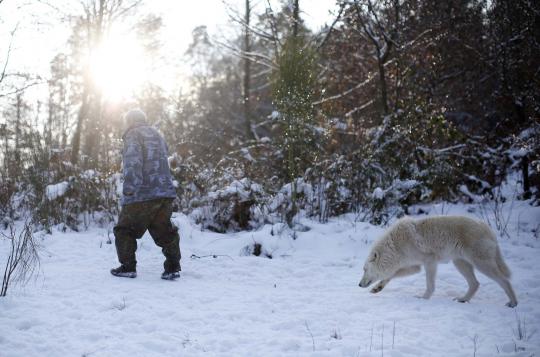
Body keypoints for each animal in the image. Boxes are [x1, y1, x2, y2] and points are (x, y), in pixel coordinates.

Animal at [358, 214, 520, 306]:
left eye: (365, 269)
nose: (359, 285)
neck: (395, 246)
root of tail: (489, 229)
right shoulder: (415, 266)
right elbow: (391, 275)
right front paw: (377, 288)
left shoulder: (429, 261)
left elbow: (430, 284)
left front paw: (423, 298)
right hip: (460, 263)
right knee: (475, 283)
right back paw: (463, 299)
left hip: (481, 264)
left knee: (504, 280)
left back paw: (513, 303)